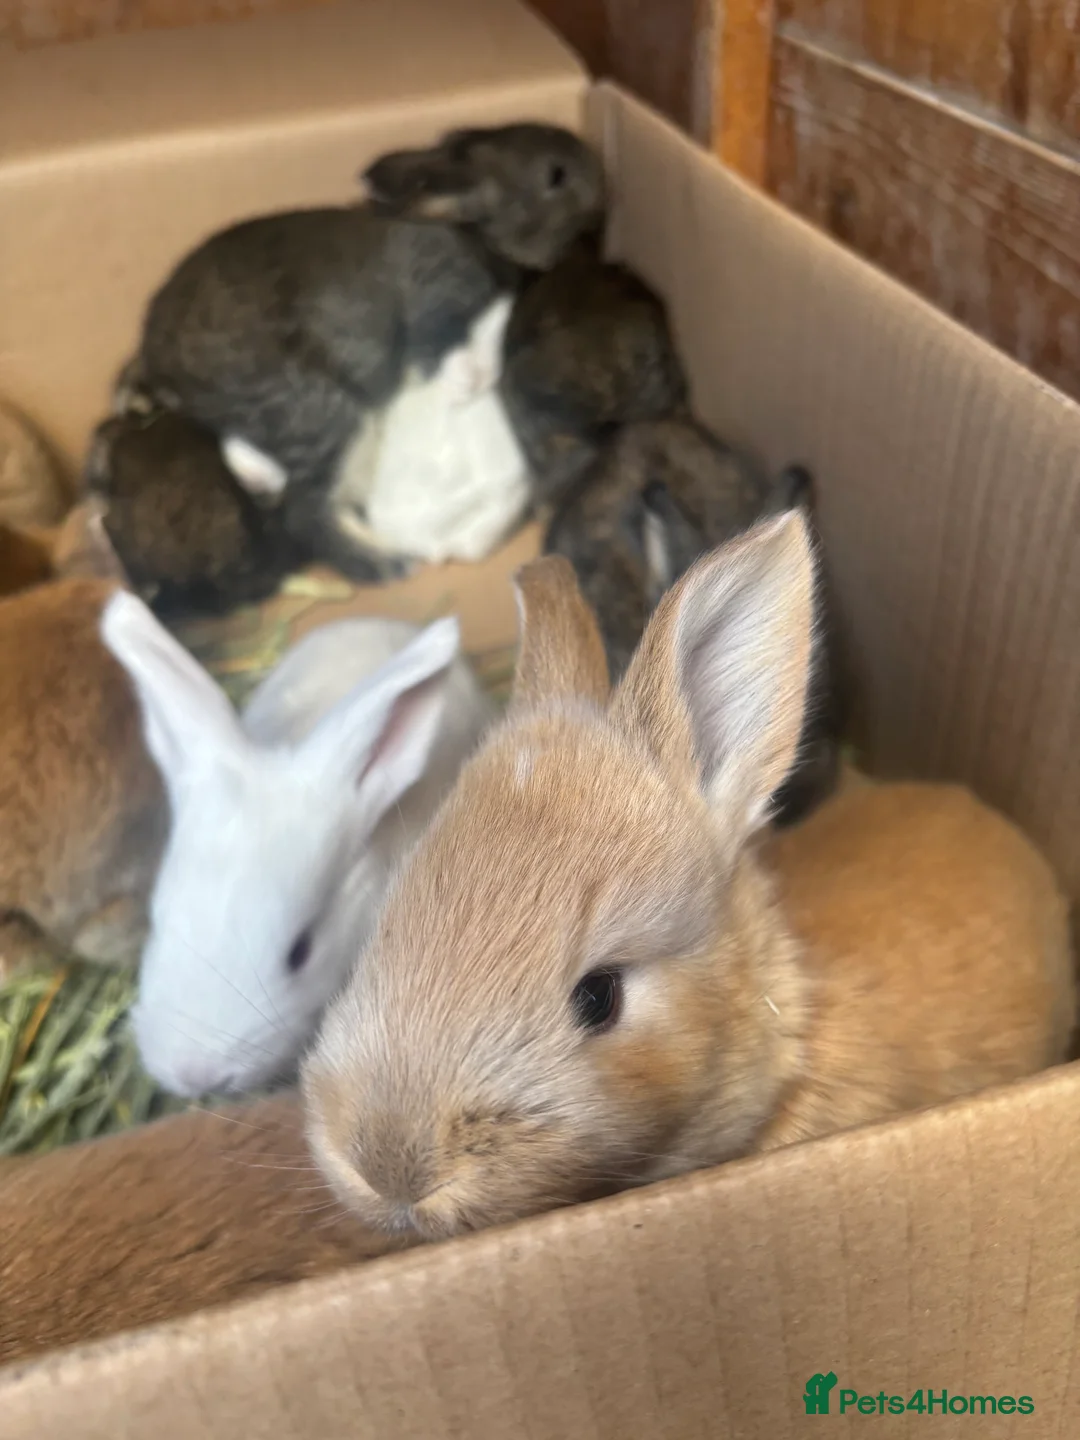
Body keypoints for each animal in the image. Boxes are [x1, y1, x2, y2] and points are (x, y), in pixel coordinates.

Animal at [129, 123, 604, 581]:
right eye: (555, 175)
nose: (598, 177)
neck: (470, 230)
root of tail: (156, 360)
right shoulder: (441, 290)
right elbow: (446, 339)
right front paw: (466, 380)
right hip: (320, 412)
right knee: (303, 511)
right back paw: (385, 563)